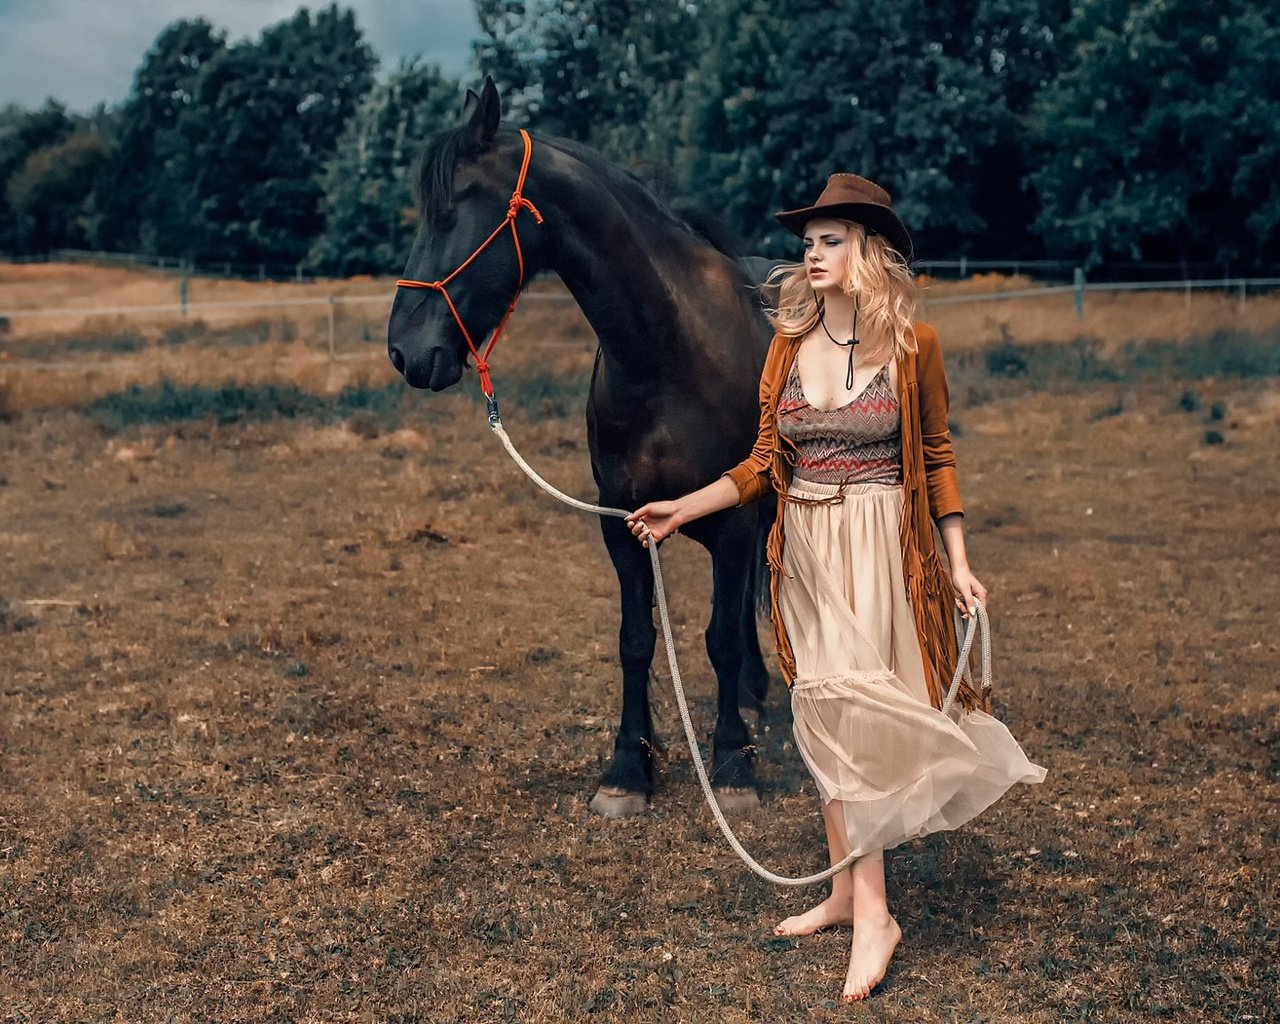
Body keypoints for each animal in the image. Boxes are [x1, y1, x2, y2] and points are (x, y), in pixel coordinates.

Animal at [384, 78, 773, 814]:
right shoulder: (622, 522)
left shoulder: (735, 521)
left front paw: (734, 765)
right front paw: (628, 769)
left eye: (454, 207)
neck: (667, 353)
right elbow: (636, 640)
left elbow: (721, 638)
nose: (403, 351)